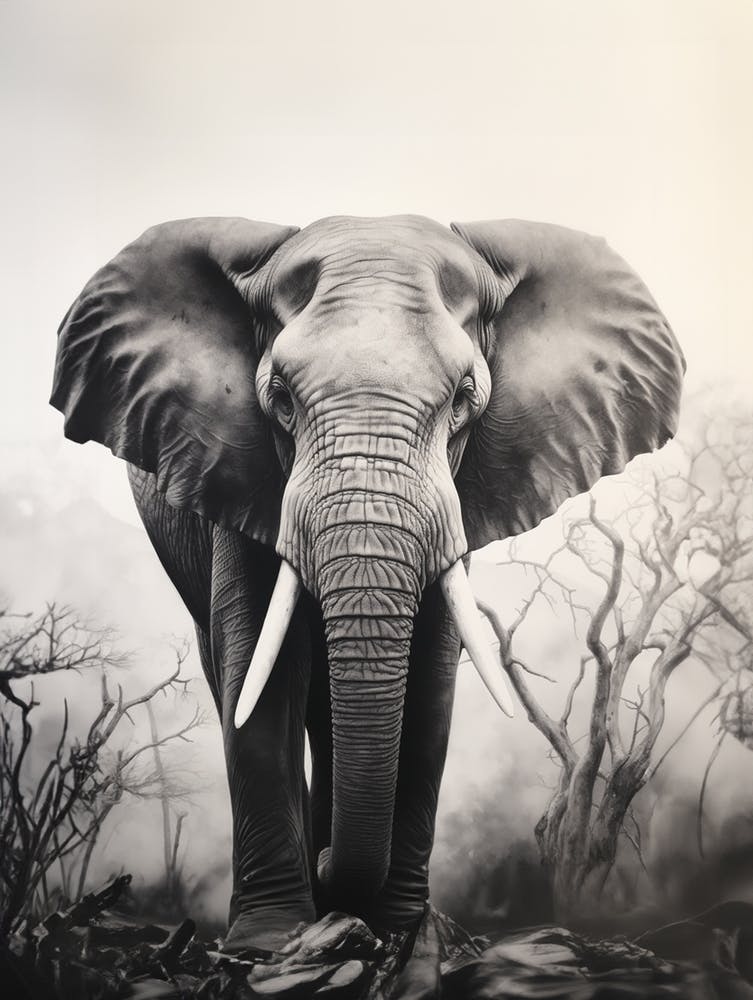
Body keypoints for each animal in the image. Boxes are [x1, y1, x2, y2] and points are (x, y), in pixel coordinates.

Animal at [50, 214, 684, 952]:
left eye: (464, 399)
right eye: (279, 399)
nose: (328, 869)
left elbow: (429, 684)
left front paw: (403, 930)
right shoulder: (235, 469)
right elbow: (259, 676)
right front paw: (268, 940)